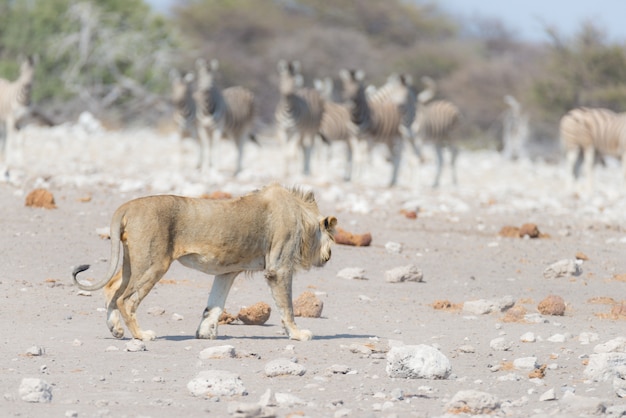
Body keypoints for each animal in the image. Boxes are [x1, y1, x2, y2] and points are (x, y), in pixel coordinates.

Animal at [71, 185, 336, 342]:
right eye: (332, 238)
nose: (330, 255)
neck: (303, 217)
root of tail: (127, 206)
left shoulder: (228, 272)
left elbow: (214, 305)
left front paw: (204, 333)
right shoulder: (278, 269)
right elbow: (287, 307)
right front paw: (298, 334)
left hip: (133, 262)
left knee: (112, 290)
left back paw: (115, 329)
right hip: (154, 264)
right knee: (126, 300)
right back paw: (142, 336)